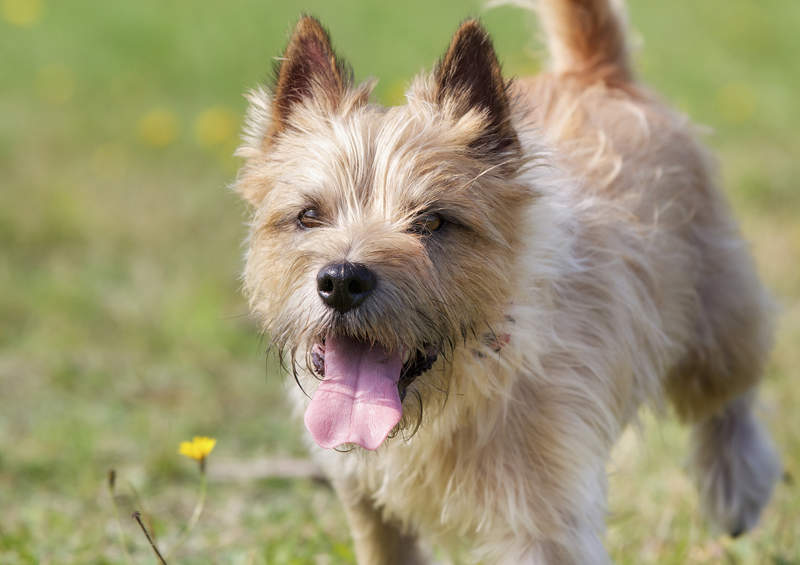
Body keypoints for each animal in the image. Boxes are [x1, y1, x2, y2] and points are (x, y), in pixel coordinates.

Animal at [233, 2, 780, 560]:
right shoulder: (367, 501)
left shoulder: (544, 520)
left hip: (716, 319)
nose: (342, 279)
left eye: (432, 221)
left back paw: (736, 487)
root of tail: (594, 73)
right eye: (308, 216)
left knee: (730, 395)